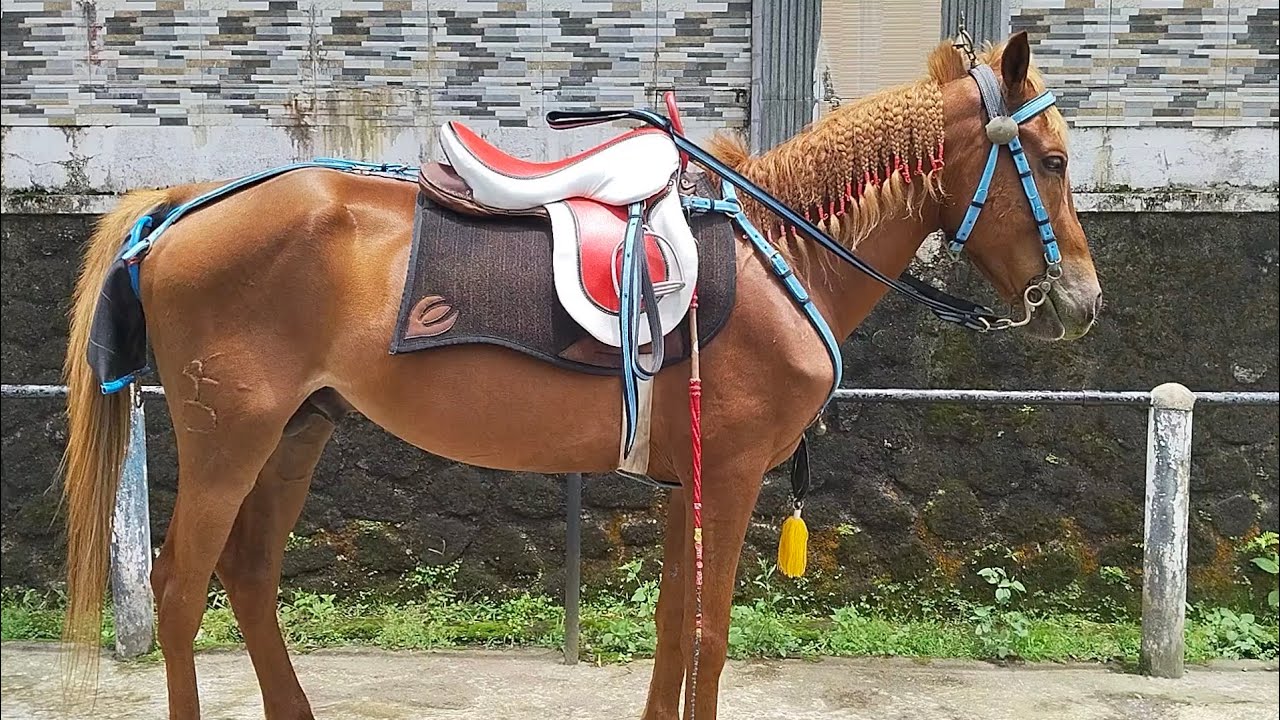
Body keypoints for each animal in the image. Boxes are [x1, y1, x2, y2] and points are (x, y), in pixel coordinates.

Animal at [58, 33, 1101, 719]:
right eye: (1050, 162)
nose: (1083, 301)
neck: (785, 254)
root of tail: (183, 204)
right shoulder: (728, 480)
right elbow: (709, 638)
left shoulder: (690, 481)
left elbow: (674, 631)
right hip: (229, 437)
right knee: (179, 589)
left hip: (297, 430)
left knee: (249, 576)